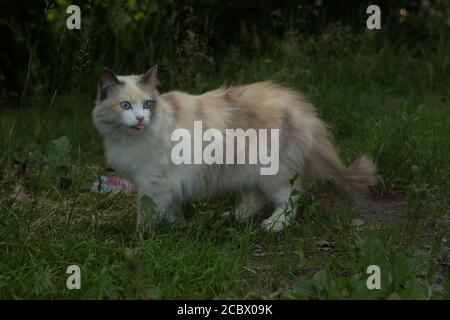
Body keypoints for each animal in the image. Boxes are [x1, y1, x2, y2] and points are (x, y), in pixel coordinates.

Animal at [91, 65, 376, 232]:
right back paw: (233, 218)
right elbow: (171, 209)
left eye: (148, 105)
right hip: (244, 171)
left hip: (271, 173)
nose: (140, 119)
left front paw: (142, 240)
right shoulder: (165, 184)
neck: (129, 139)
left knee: (291, 199)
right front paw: (176, 224)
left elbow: (147, 215)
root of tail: (304, 109)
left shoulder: (153, 182)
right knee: (255, 200)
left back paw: (273, 225)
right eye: (126, 106)